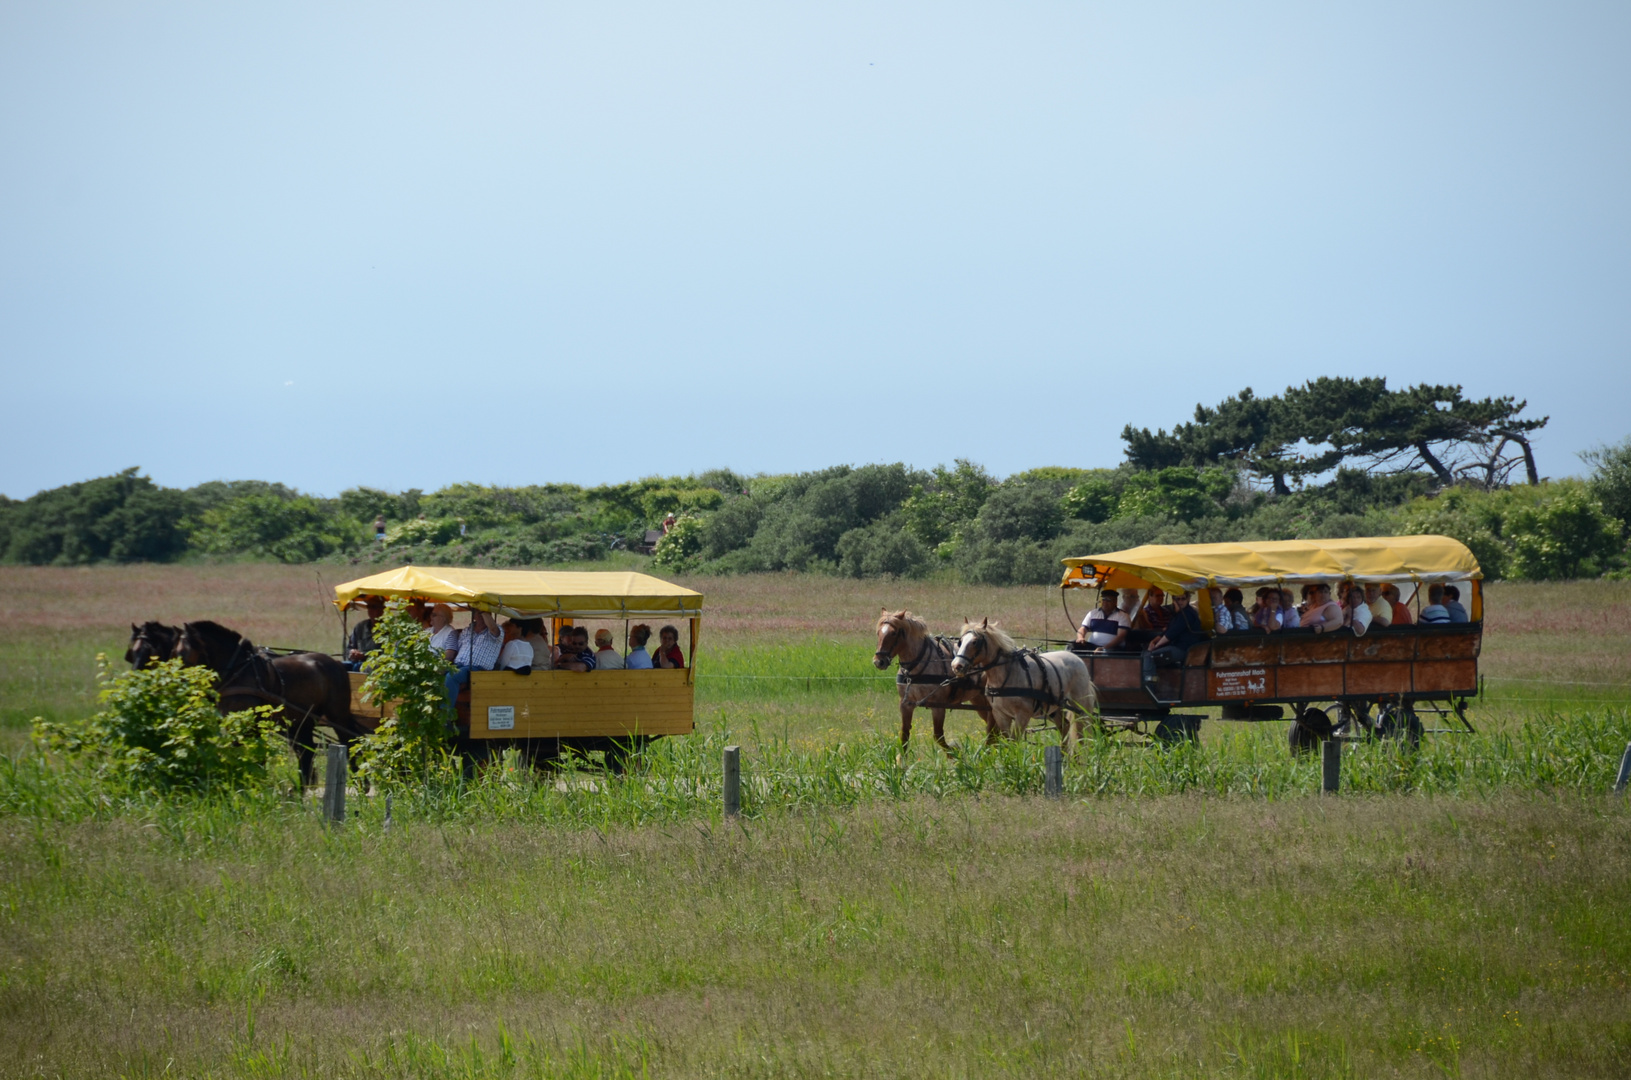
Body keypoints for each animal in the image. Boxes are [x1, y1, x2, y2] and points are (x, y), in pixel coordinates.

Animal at [176, 623, 365, 792]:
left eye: (182, 653)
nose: (178, 681)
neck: (238, 671)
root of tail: (336, 664)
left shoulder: (249, 723)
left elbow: (252, 753)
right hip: (301, 720)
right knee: (306, 751)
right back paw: (301, 790)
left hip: (337, 715)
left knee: (350, 742)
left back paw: (362, 783)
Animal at [874, 610, 998, 753]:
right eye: (878, 632)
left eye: (893, 633)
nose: (879, 661)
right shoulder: (905, 704)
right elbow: (904, 737)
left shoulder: (938, 706)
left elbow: (938, 736)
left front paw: (956, 752)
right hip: (978, 700)